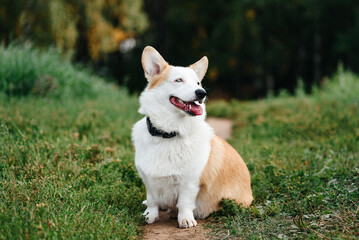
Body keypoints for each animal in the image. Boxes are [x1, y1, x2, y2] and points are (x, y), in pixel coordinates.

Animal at [132, 46, 253, 228]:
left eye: (198, 83)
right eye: (178, 80)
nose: (202, 93)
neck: (168, 134)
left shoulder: (189, 182)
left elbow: (184, 203)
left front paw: (185, 219)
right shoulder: (149, 181)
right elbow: (152, 201)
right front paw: (148, 216)